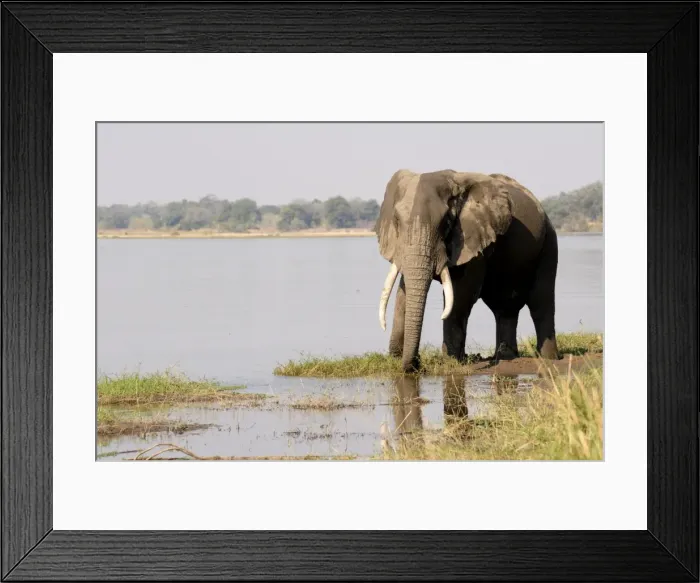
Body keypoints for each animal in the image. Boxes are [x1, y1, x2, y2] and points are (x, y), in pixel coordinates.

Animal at [374, 169, 561, 372]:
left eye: (445, 222)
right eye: (396, 221)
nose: (417, 363)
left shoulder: (474, 238)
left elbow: (462, 294)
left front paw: (451, 361)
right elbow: (404, 291)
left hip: (549, 243)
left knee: (540, 302)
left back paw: (548, 359)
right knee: (504, 307)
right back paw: (506, 357)